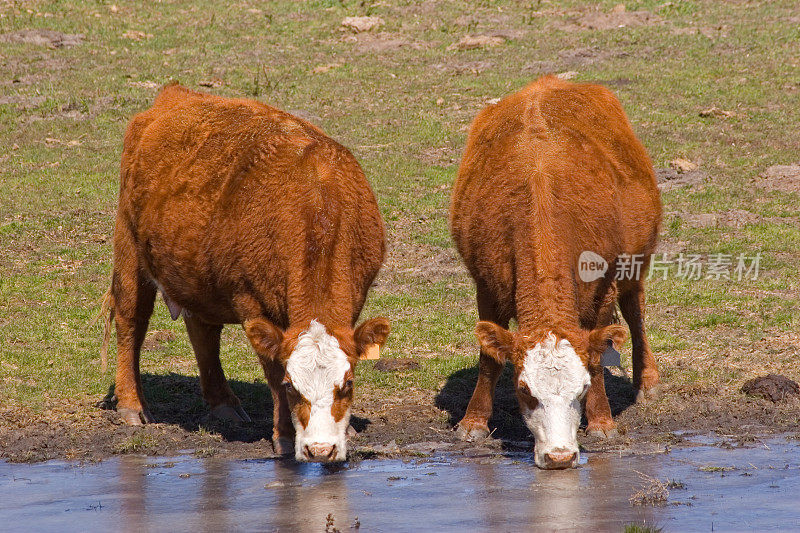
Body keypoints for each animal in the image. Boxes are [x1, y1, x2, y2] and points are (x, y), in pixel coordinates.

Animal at [450, 75, 664, 466]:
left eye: (580, 390)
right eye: (524, 390)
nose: (560, 457)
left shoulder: (603, 287)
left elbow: (597, 359)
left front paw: (601, 422)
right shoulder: (486, 287)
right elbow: (489, 359)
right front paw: (473, 422)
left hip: (635, 263)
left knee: (635, 311)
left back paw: (648, 380)